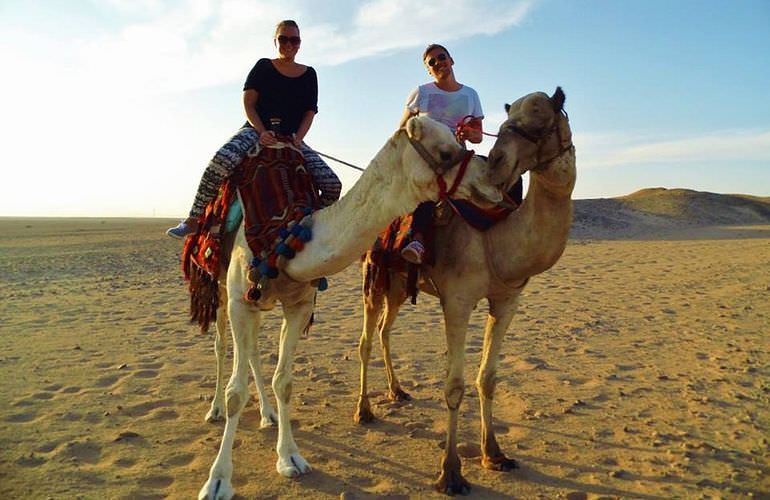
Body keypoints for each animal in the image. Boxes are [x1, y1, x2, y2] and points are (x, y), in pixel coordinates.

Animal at [195, 115, 500, 500]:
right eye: (445, 151)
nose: (493, 182)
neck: (285, 235)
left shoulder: (299, 304)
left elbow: (285, 382)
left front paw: (290, 458)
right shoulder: (240, 300)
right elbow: (237, 392)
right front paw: (218, 480)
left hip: (261, 301)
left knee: (250, 353)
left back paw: (267, 415)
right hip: (223, 292)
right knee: (222, 346)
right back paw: (215, 410)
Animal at [352, 88, 568, 494]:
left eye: (540, 119)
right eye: (508, 119)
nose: (497, 162)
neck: (496, 237)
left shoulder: (507, 300)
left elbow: (488, 379)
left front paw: (495, 454)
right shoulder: (457, 300)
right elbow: (454, 386)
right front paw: (451, 473)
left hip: (399, 284)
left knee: (386, 331)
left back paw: (397, 391)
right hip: (374, 273)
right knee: (367, 341)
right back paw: (364, 410)